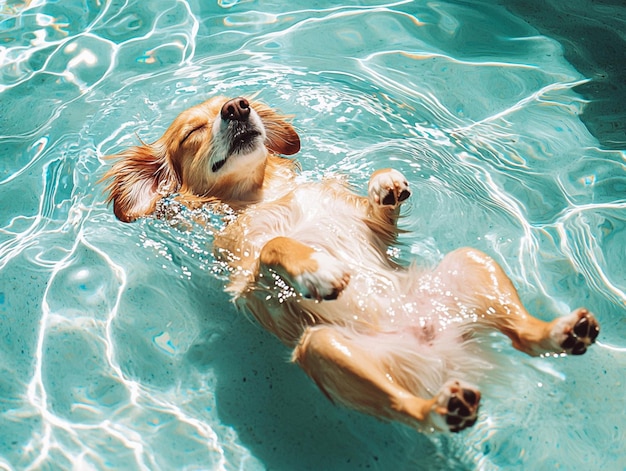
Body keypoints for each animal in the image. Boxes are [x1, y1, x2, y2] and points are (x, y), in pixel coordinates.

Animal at [103, 96, 600, 436]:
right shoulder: (250, 283)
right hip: (325, 347)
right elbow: (276, 244)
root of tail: (437, 351)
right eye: (192, 132)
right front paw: (318, 269)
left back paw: (560, 332)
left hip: (471, 262)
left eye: (239, 100)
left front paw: (385, 185)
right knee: (407, 407)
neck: (263, 195)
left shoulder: (372, 231)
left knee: (521, 333)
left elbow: (376, 207)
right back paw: (443, 408)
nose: (237, 107)